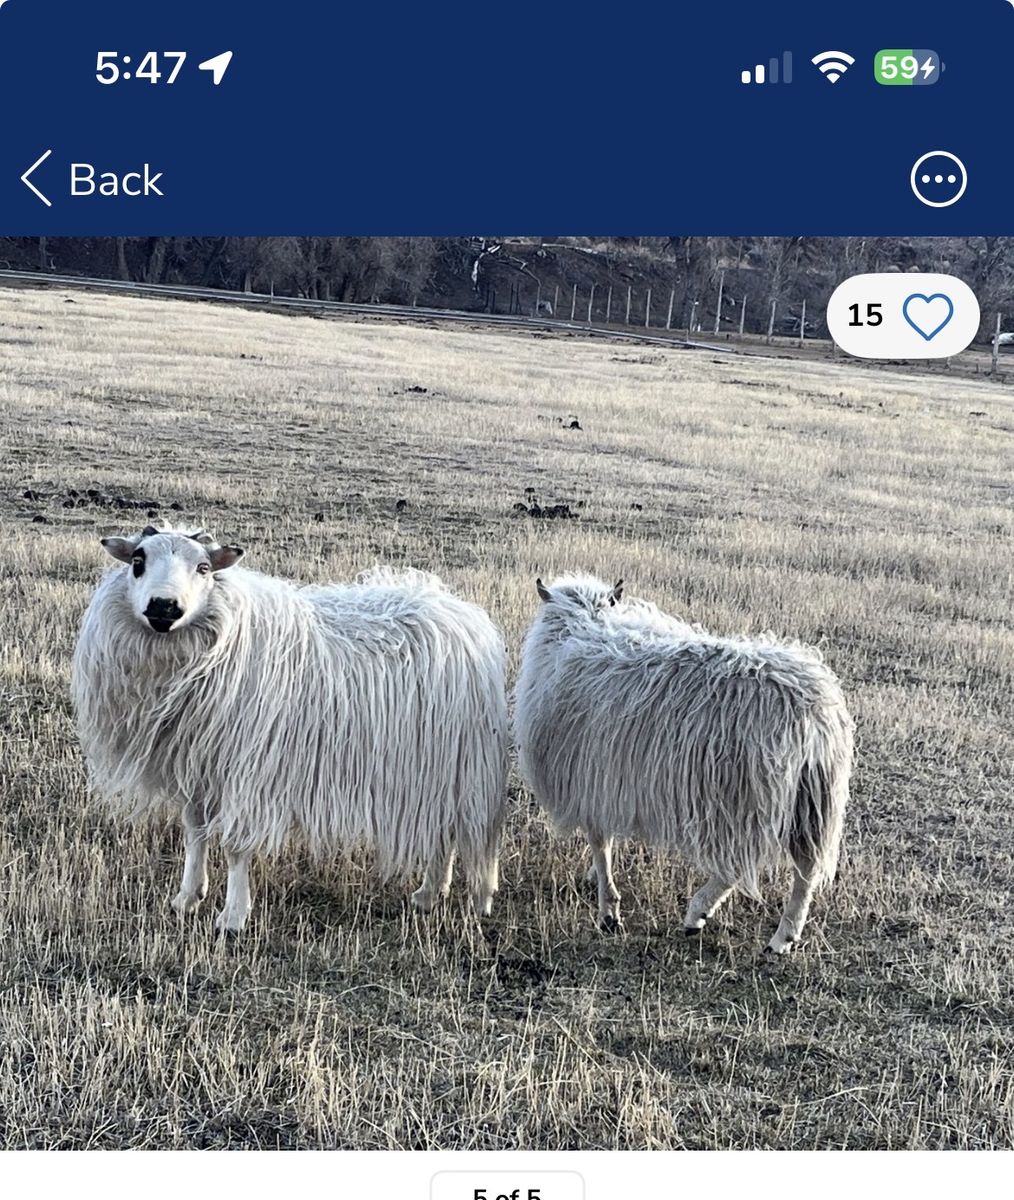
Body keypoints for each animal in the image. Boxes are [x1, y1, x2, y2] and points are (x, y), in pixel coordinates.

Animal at [71, 525, 507, 933]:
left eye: (203, 568)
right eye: (138, 561)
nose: (164, 607)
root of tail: (459, 611)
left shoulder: (247, 773)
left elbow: (235, 847)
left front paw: (233, 917)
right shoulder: (198, 767)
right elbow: (194, 834)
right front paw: (187, 898)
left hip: (458, 763)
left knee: (460, 827)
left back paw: (461, 896)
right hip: (432, 769)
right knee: (443, 830)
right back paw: (429, 894)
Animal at [514, 575, 853, 953]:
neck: (583, 624)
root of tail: (814, 714)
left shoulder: (589, 778)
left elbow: (601, 843)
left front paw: (608, 909)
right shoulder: (608, 780)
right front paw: (595, 883)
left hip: (744, 801)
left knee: (736, 867)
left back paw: (699, 915)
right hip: (811, 804)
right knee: (806, 871)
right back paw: (784, 936)